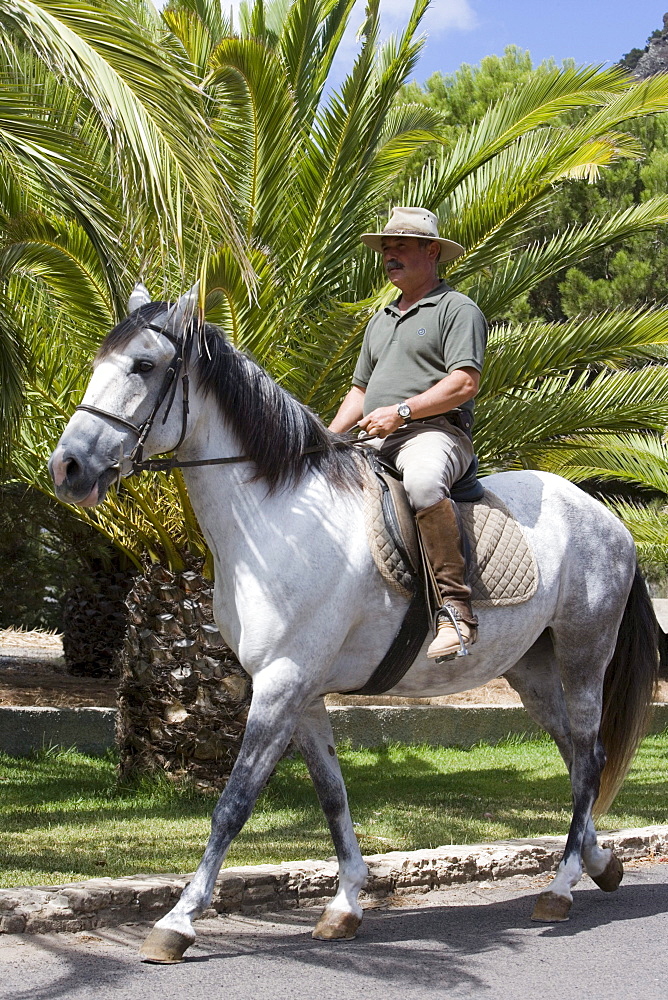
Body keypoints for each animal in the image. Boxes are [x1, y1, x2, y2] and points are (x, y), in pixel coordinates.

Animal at [49, 288, 660, 960]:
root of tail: (603, 515)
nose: (68, 468)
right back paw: (600, 863)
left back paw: (561, 887)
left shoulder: (281, 685)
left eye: (144, 365)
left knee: (590, 756)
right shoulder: (301, 692)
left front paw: (178, 921)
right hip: (533, 672)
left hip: (583, 656)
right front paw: (344, 905)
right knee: (578, 758)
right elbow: (332, 795)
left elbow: (233, 804)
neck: (279, 516)